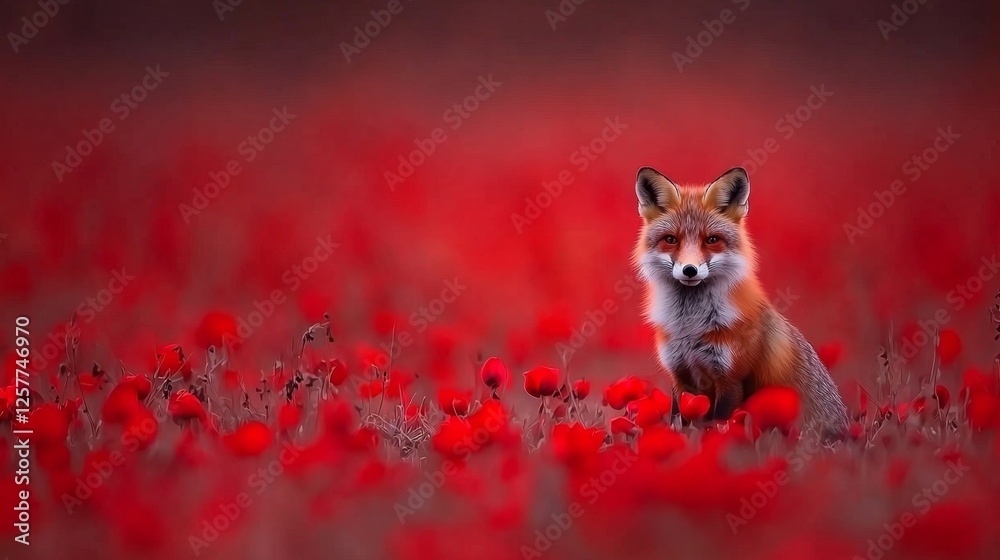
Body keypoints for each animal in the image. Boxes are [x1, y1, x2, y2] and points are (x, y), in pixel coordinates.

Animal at [632, 166, 849, 437]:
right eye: (671, 239)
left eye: (712, 240)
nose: (690, 270)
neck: (690, 327)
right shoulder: (679, 377)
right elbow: (680, 427)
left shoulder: (731, 379)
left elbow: (718, 428)